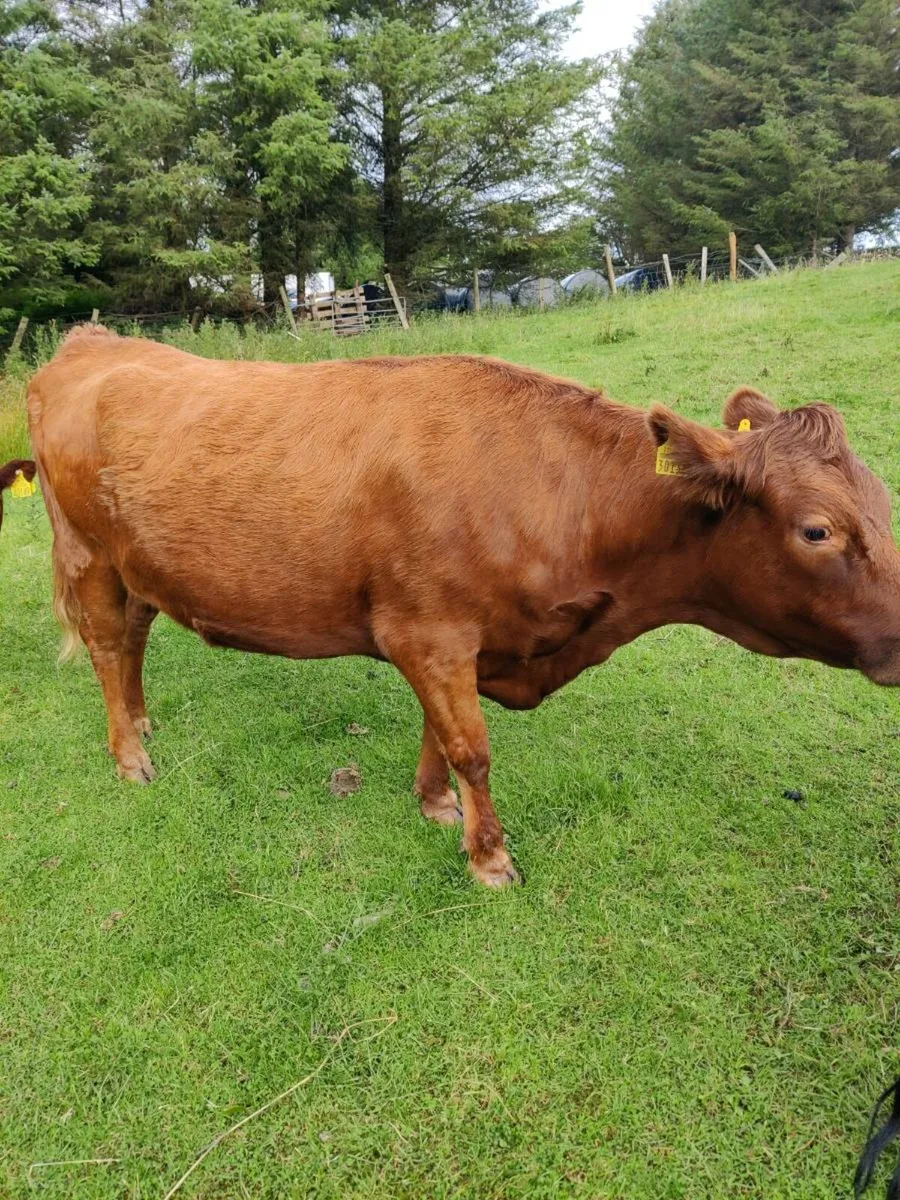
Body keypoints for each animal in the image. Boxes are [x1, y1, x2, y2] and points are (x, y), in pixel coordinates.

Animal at [26, 324, 900, 886]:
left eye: (882, 501)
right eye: (818, 529)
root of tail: (91, 341)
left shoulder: (453, 638)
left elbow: (438, 734)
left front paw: (436, 805)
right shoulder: (430, 632)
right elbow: (472, 746)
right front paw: (490, 857)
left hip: (138, 562)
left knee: (135, 636)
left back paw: (142, 721)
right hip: (87, 550)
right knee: (106, 642)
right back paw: (130, 755)